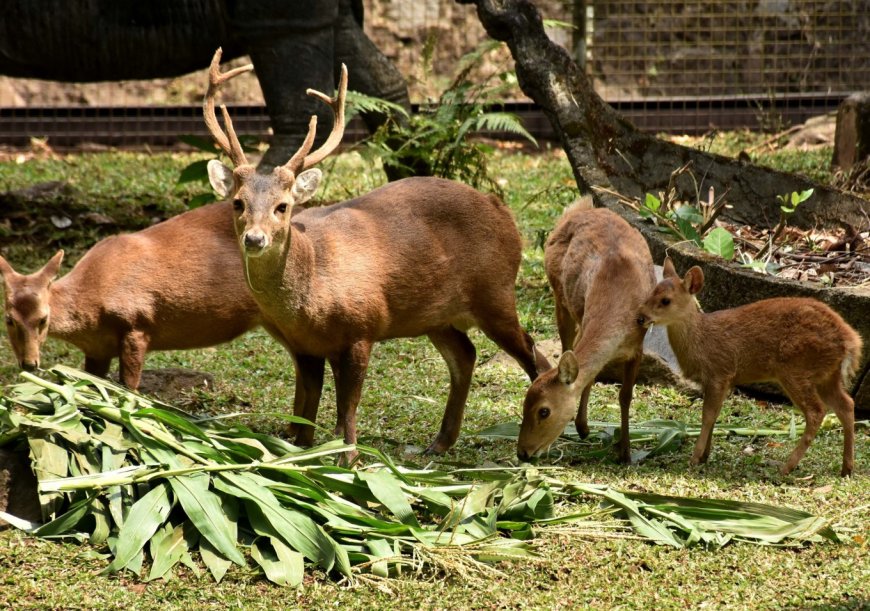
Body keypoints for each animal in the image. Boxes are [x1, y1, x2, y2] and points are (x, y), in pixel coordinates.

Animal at [0, 203, 272, 390]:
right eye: (8, 320)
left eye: (43, 319)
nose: (29, 364)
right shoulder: (97, 349)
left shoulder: (137, 323)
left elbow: (129, 388)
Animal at [203, 49, 552, 454]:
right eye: (238, 203)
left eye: (283, 206)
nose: (255, 239)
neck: (311, 286)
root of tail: (503, 211)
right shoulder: (304, 345)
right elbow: (307, 416)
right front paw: (305, 452)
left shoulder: (362, 326)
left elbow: (348, 407)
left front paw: (348, 457)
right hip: (435, 315)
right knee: (466, 355)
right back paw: (439, 443)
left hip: (494, 291)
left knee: (532, 352)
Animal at [516, 201, 656, 464]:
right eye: (524, 403)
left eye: (544, 411)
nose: (523, 453)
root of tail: (581, 206)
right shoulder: (584, 317)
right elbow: (588, 376)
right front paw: (583, 427)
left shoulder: (639, 345)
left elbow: (625, 395)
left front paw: (625, 452)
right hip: (560, 297)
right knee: (565, 345)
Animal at [640, 258, 864, 478]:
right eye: (651, 292)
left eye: (666, 300)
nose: (640, 317)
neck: (701, 340)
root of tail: (850, 341)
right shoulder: (721, 380)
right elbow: (715, 415)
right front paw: (705, 456)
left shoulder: (719, 372)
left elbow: (708, 416)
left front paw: (695, 458)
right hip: (826, 375)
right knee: (847, 405)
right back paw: (847, 468)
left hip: (796, 369)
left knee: (817, 411)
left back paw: (786, 467)